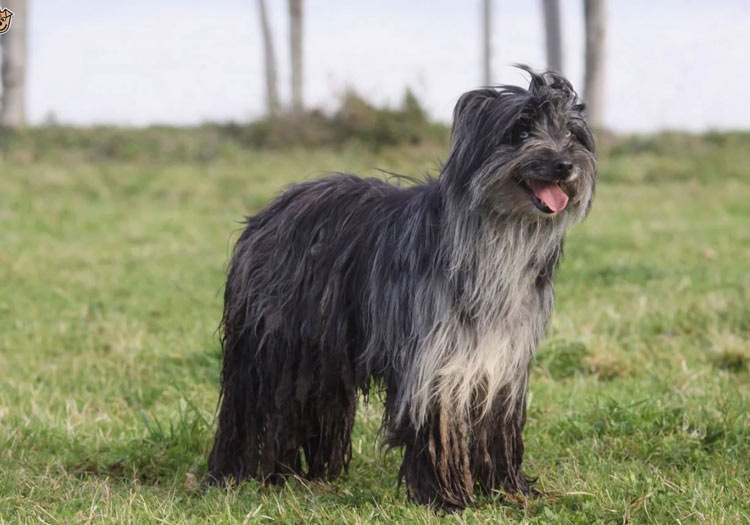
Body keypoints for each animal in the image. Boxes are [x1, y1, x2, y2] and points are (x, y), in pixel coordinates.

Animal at [207, 67, 600, 510]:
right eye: (521, 130)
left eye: (571, 133)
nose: (564, 165)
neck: (498, 238)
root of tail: (270, 211)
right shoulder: (434, 359)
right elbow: (436, 425)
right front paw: (447, 497)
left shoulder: (501, 360)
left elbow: (495, 426)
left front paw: (507, 488)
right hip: (272, 347)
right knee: (249, 408)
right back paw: (234, 473)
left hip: (318, 357)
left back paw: (298, 474)